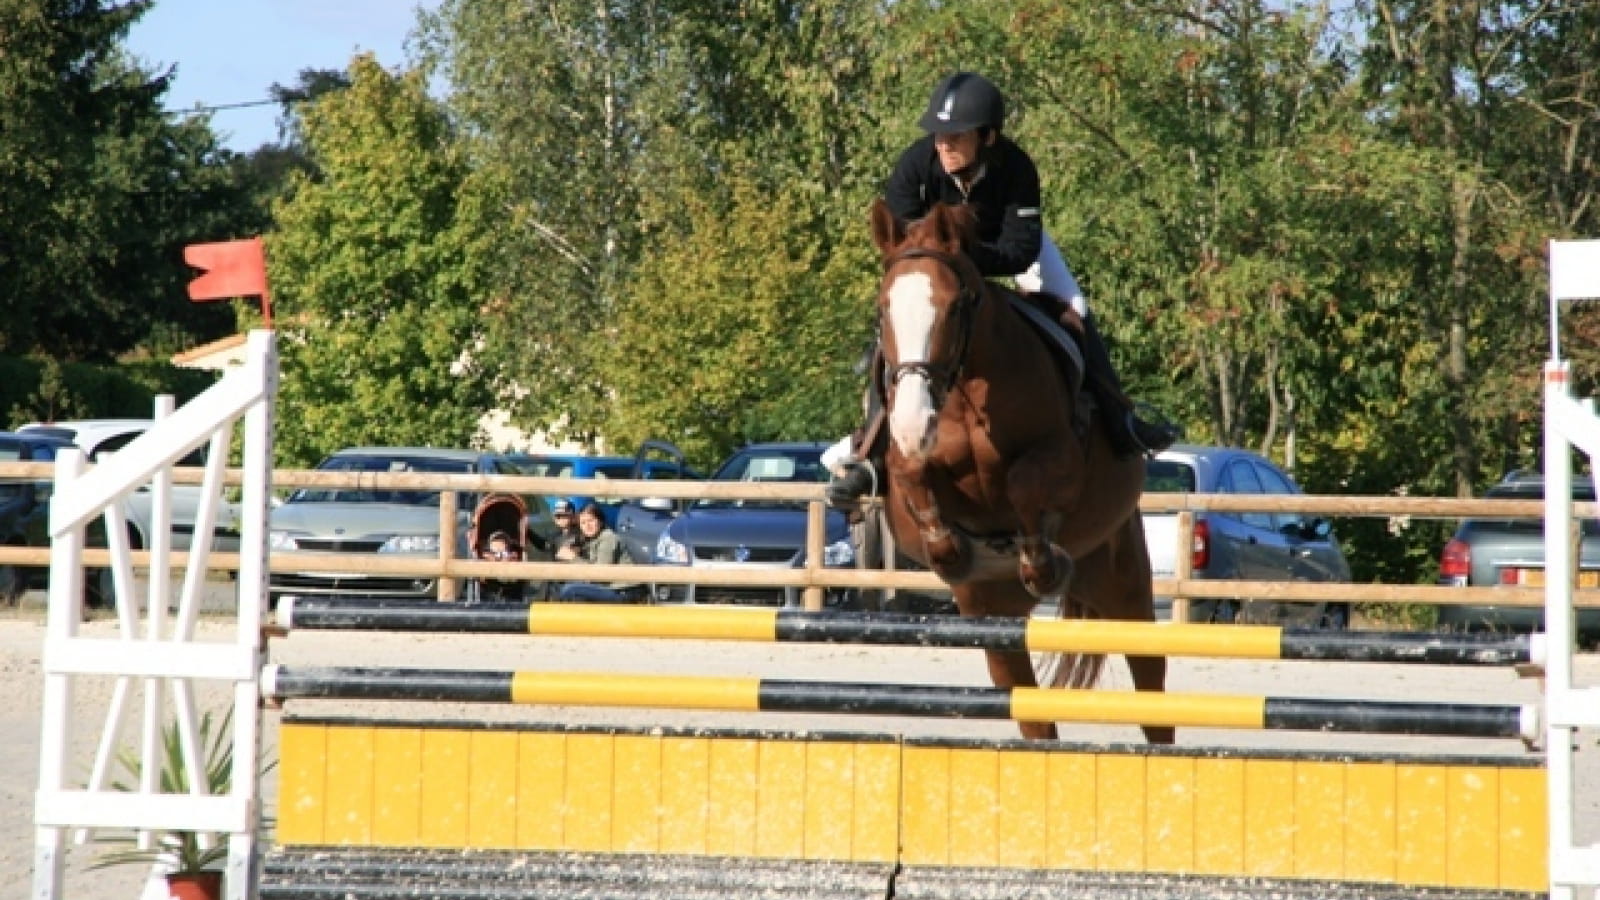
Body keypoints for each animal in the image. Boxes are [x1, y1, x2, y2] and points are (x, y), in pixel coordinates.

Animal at [870, 199, 1171, 739]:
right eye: (884, 309)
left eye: (954, 306)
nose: (912, 422)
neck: (965, 390)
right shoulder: (904, 464)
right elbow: (915, 478)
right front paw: (954, 552)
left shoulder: (1061, 456)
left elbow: (1024, 482)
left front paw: (1041, 561)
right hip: (997, 625)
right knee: (1031, 714)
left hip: (1125, 589)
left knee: (1152, 693)